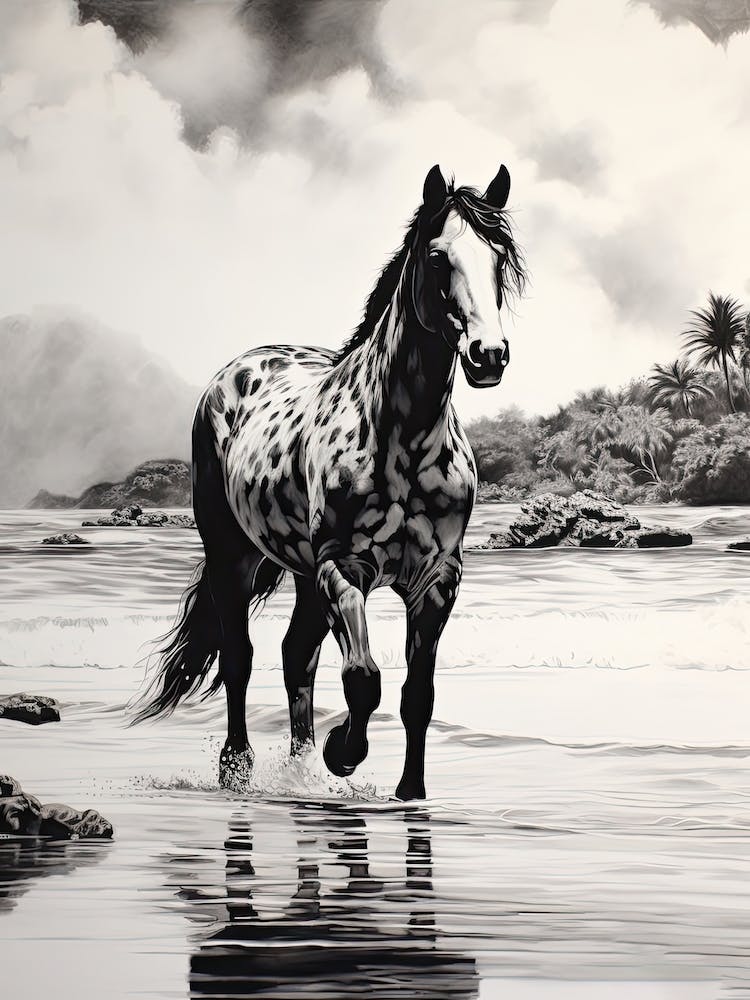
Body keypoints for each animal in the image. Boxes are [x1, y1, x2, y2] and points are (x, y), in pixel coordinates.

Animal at [133, 163, 525, 800]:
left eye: (500, 259)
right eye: (437, 257)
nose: (487, 354)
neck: (402, 437)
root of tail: (237, 370)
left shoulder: (437, 580)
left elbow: (418, 696)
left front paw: (408, 791)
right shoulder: (345, 566)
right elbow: (363, 676)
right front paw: (345, 752)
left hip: (301, 570)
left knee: (297, 653)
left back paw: (301, 773)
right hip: (234, 553)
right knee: (239, 656)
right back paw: (239, 768)